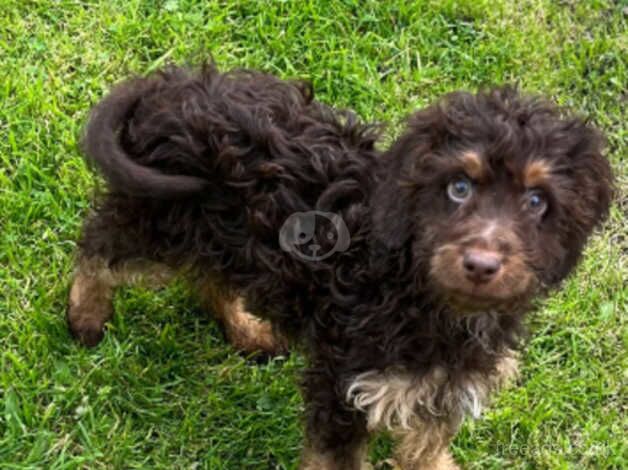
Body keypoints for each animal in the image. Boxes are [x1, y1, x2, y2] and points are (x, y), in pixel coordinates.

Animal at [66, 63, 612, 470]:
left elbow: (425, 449)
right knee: (98, 247)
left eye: (537, 201)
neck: (421, 293)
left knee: (207, 277)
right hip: (158, 217)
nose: (481, 264)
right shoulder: (345, 386)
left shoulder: (442, 391)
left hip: (221, 233)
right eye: (459, 187)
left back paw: (246, 329)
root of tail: (167, 86)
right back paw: (85, 316)